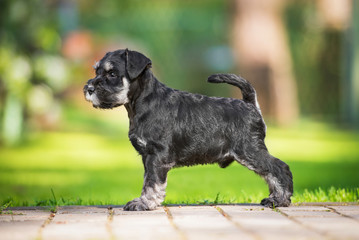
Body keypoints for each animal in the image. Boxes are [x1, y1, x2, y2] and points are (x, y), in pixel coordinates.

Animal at [83, 48, 292, 210]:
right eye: (96, 71)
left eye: (112, 73)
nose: (89, 89)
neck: (142, 102)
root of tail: (250, 104)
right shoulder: (147, 157)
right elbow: (148, 180)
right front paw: (145, 201)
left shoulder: (156, 156)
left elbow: (152, 183)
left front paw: (143, 203)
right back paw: (274, 198)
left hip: (249, 150)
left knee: (279, 168)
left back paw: (280, 199)